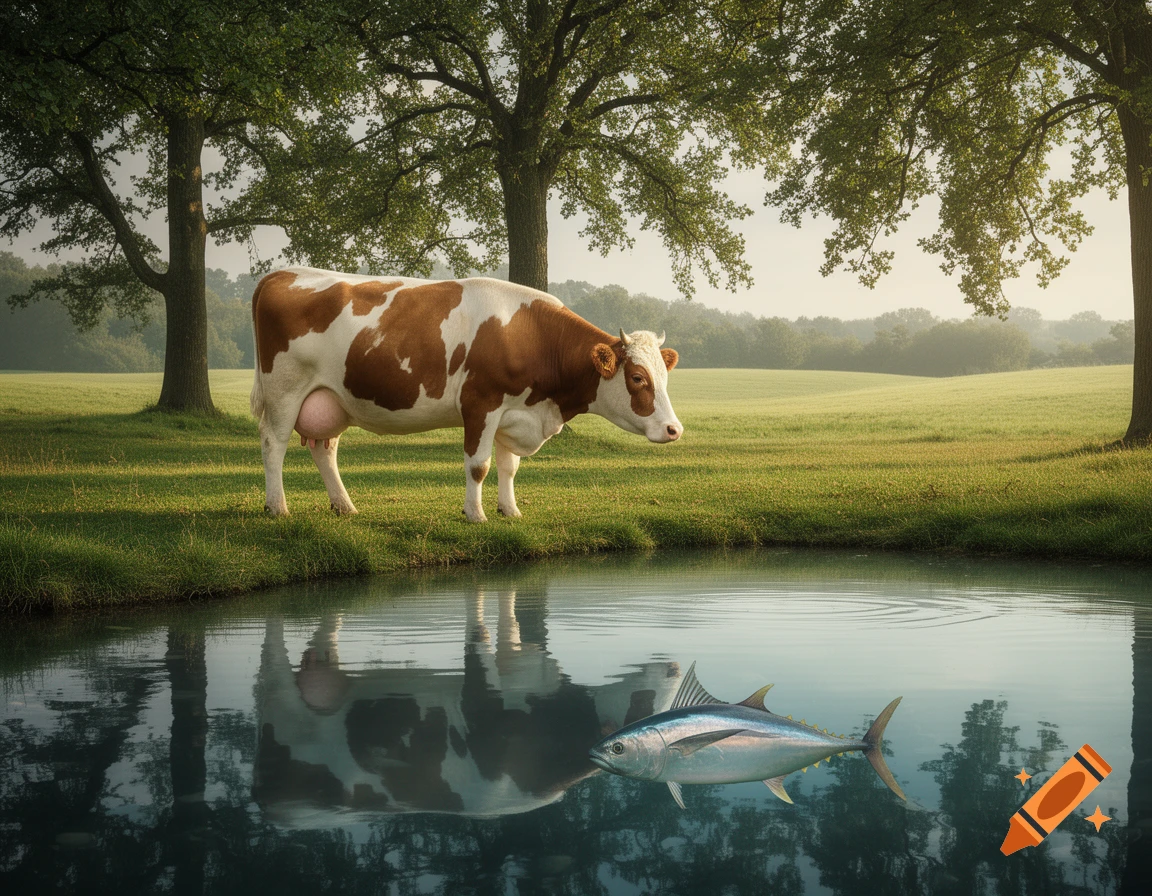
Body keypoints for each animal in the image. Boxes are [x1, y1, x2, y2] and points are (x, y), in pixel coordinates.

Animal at [249, 267, 682, 521]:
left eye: (664, 376)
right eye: (638, 378)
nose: (674, 429)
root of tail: (284, 272)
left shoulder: (514, 412)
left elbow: (509, 467)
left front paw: (511, 511)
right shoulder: (481, 403)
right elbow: (479, 465)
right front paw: (476, 515)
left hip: (331, 398)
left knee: (324, 448)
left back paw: (345, 506)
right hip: (285, 390)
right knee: (274, 443)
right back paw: (277, 507)